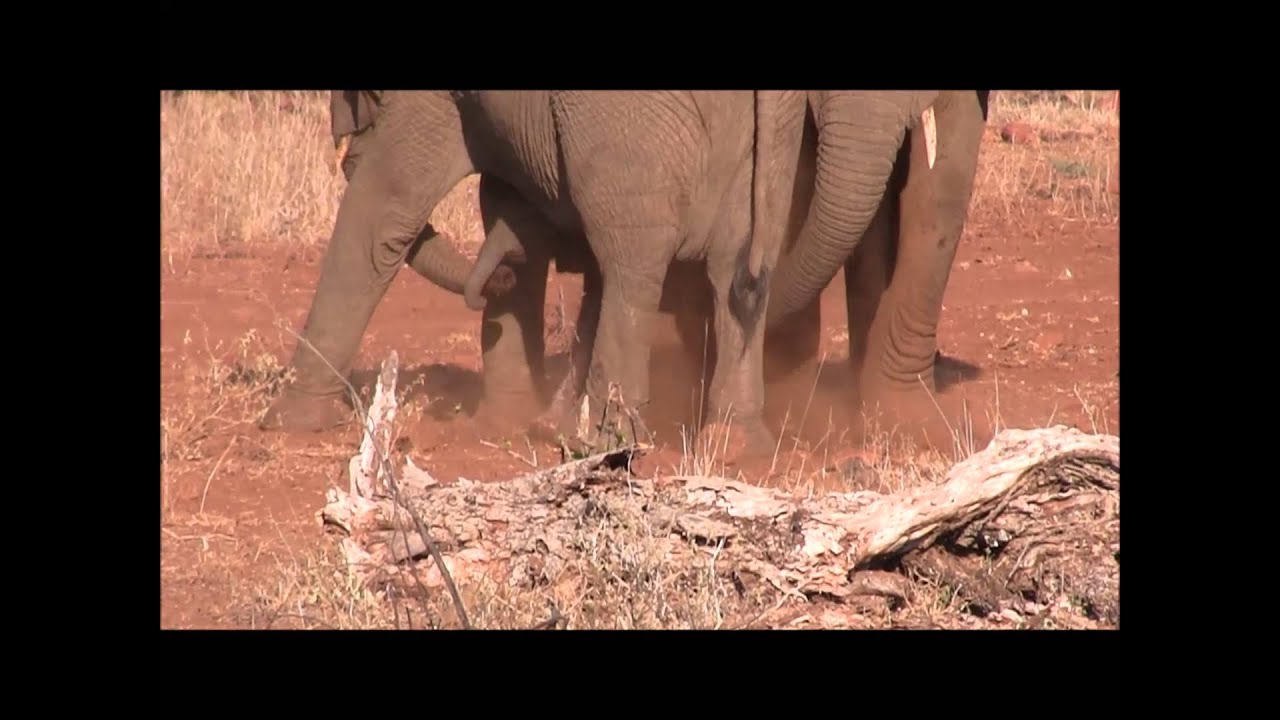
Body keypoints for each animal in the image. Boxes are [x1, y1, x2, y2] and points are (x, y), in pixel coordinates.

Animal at [260, 91, 807, 452]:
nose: (496, 275)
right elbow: (500, 197)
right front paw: (501, 422)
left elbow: (383, 203)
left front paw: (289, 422)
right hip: (776, 133)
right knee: (736, 269)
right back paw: (734, 443)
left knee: (630, 263)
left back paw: (605, 442)